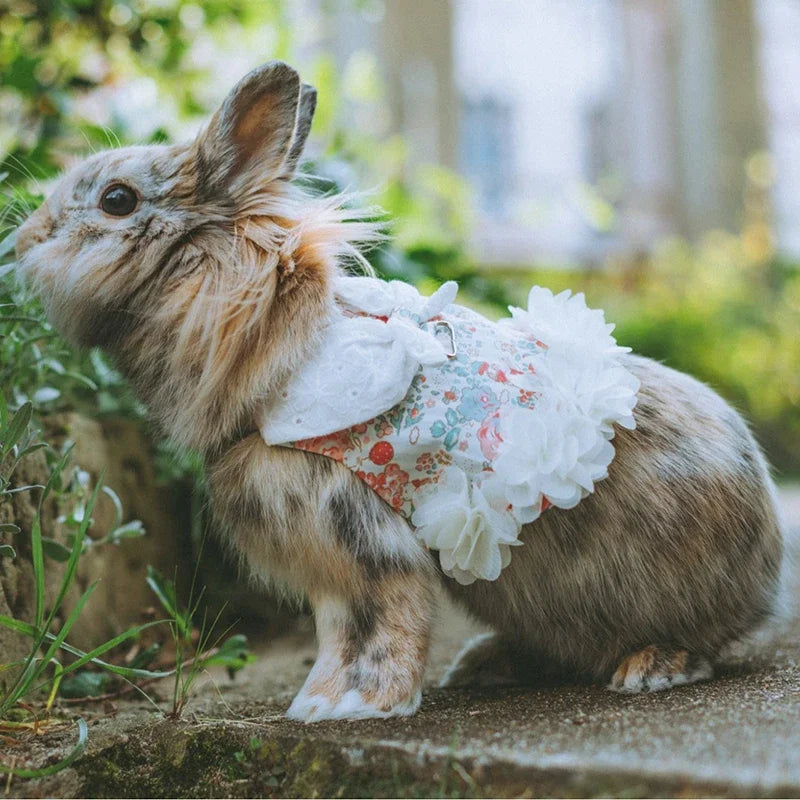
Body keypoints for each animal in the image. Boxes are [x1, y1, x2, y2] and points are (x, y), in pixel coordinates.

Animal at [15, 62, 783, 722]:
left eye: (117, 201)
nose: (21, 239)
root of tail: (767, 568)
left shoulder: (351, 538)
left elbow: (371, 623)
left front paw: (338, 707)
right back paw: (485, 666)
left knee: (697, 641)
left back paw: (650, 668)